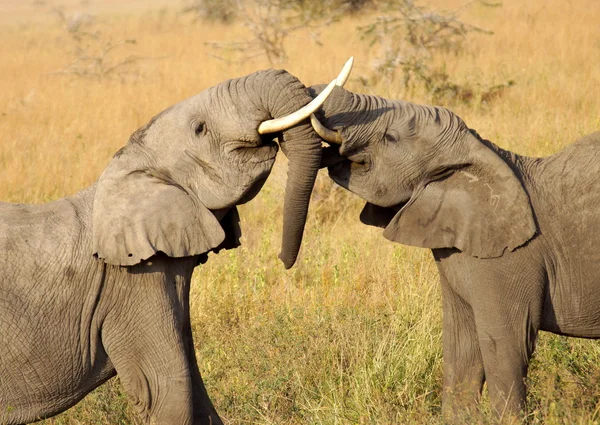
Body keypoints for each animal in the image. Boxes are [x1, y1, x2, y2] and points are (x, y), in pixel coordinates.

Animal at [0, 63, 352, 424]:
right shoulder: (133, 283)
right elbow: (167, 388)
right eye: (200, 129)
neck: (128, 172)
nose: (283, 259)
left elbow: (195, 387)